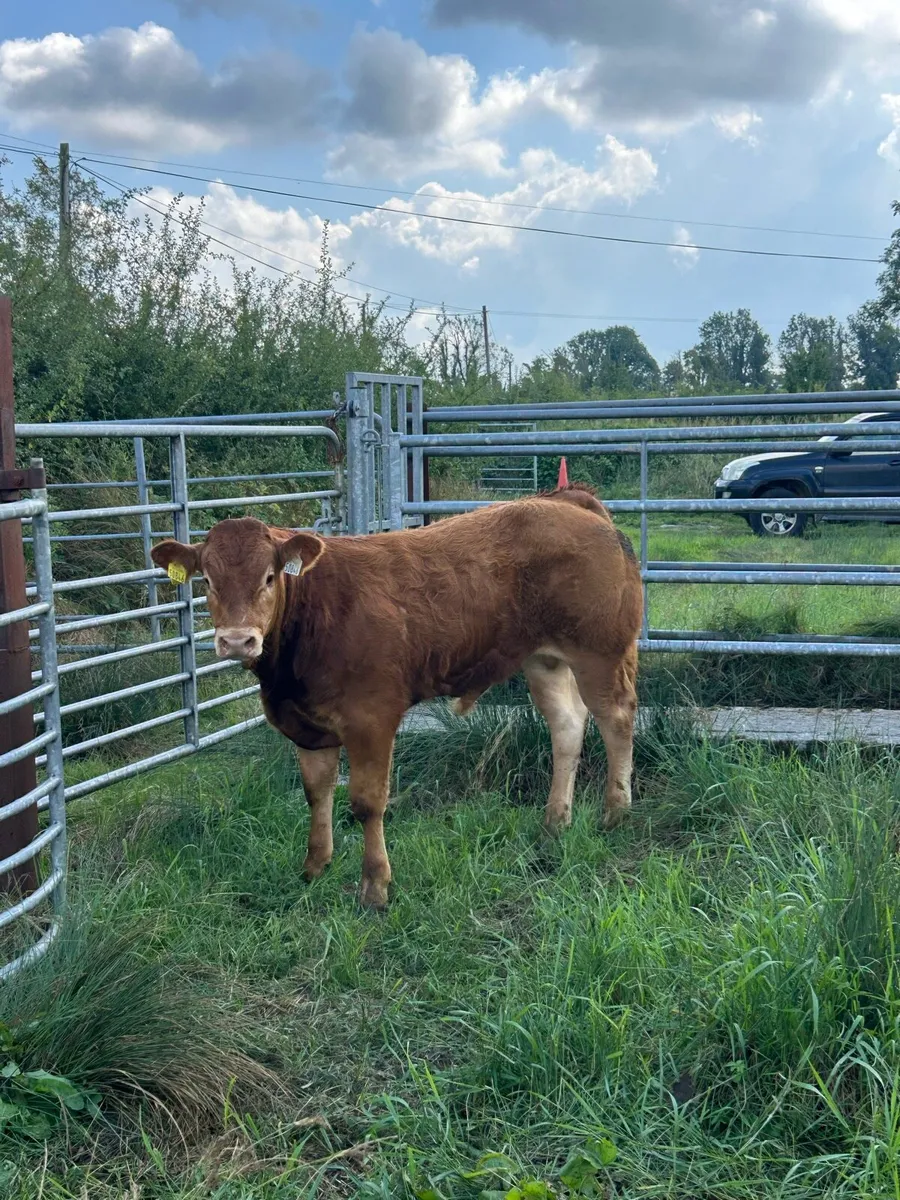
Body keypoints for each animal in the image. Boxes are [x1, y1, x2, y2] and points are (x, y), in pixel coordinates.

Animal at [151, 483, 642, 909]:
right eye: (207, 581)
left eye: (270, 577)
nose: (237, 641)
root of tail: (567, 501)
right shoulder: (306, 726)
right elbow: (316, 793)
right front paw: (314, 868)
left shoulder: (371, 718)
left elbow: (367, 802)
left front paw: (374, 887)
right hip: (545, 659)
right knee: (567, 726)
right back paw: (554, 824)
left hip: (599, 651)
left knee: (616, 718)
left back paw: (615, 813)